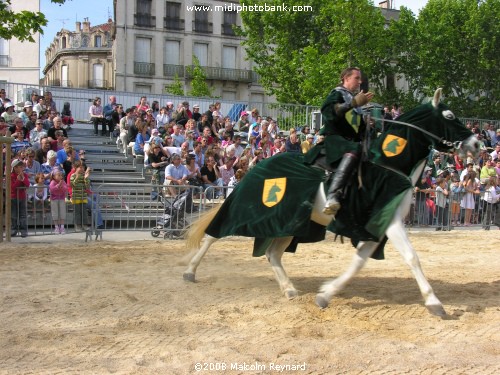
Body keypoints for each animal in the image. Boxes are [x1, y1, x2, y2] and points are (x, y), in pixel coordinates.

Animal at [182, 90, 478, 318]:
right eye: (449, 116)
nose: (477, 144)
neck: (388, 166)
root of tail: (259, 165)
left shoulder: (375, 225)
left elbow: (359, 262)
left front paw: (326, 294)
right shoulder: (388, 220)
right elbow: (411, 257)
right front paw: (434, 303)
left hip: (291, 221)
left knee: (272, 254)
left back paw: (289, 289)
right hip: (248, 206)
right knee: (215, 232)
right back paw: (190, 270)